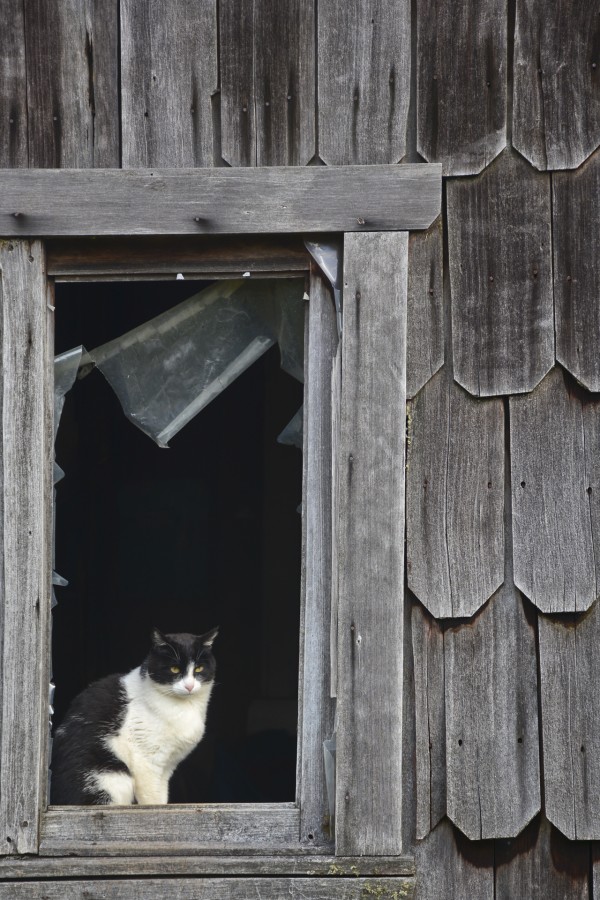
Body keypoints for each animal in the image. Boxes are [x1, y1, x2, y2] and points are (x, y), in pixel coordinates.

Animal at [49, 624, 218, 808]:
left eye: (199, 669)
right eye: (174, 669)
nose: (189, 686)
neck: (185, 707)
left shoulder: (167, 767)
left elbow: (161, 796)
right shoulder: (146, 760)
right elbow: (151, 800)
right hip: (112, 777)